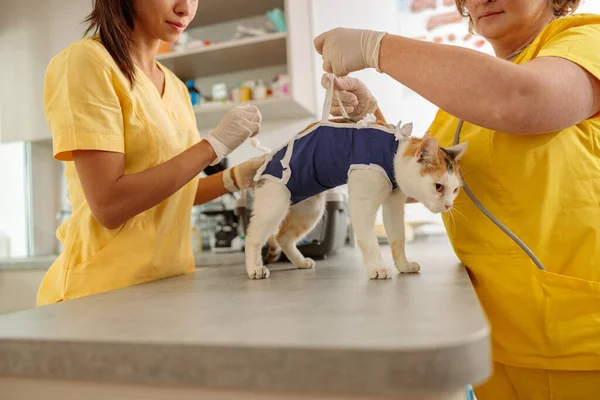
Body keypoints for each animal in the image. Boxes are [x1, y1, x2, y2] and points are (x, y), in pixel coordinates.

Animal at [245, 117, 468, 280]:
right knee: (253, 236)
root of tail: (265, 163)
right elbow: (368, 239)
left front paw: (403, 265)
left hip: (310, 208)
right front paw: (377, 267)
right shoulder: (363, 201)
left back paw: (301, 262)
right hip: (275, 204)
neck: (392, 154)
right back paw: (255, 267)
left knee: (283, 238)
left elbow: (397, 237)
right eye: (438, 187)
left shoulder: (393, 203)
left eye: (455, 189)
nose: (448, 205)